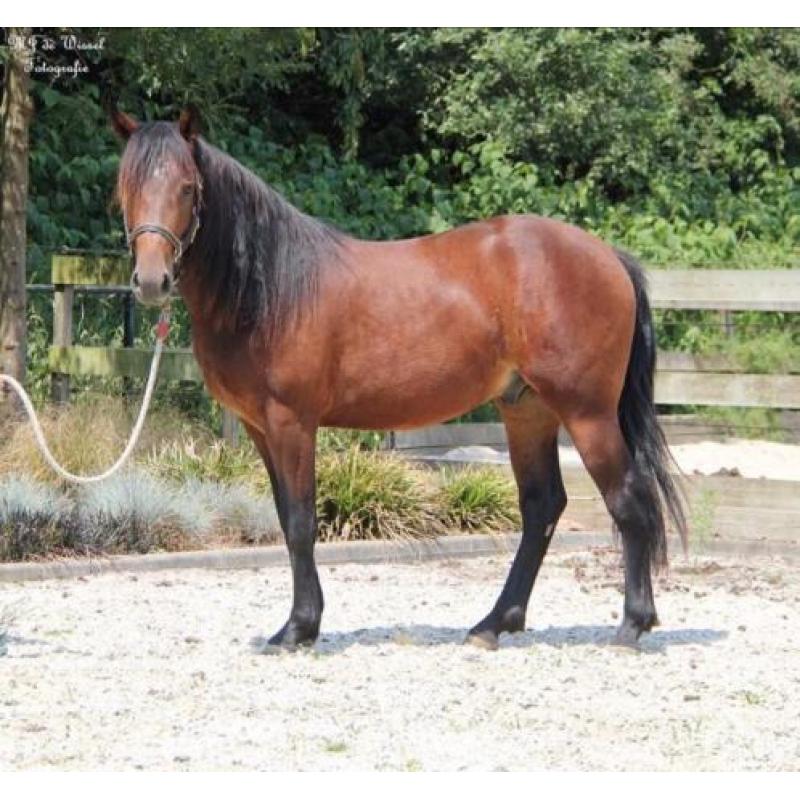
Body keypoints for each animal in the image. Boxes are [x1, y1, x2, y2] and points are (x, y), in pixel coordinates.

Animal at [111, 107, 686, 652]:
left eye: (188, 187)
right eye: (127, 187)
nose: (151, 280)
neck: (272, 287)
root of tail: (608, 256)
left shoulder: (292, 423)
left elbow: (300, 523)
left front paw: (299, 628)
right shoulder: (259, 428)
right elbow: (283, 516)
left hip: (587, 414)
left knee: (629, 500)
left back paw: (632, 625)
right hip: (528, 411)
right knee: (542, 506)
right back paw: (494, 624)